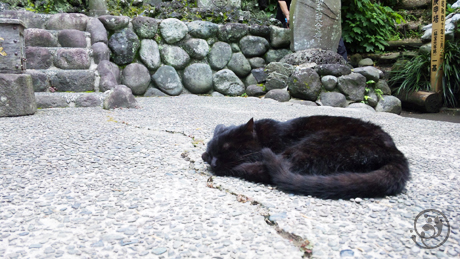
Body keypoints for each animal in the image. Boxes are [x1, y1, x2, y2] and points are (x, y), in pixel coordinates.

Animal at [201, 117, 410, 200]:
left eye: (227, 149)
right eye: (210, 154)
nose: (214, 162)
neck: (265, 137)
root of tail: (395, 152)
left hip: (315, 143)